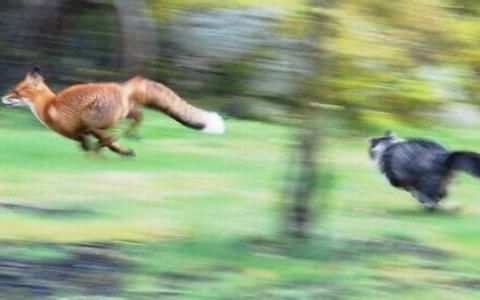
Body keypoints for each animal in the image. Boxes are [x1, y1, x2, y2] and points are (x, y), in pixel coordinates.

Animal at [0, 69, 226, 156]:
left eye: (16, 92)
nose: (2, 98)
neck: (49, 106)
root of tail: (122, 86)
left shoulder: (79, 130)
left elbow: (90, 143)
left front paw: (104, 151)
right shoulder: (82, 132)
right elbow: (89, 143)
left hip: (93, 119)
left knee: (112, 133)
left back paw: (119, 144)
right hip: (119, 115)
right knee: (137, 117)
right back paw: (129, 138)